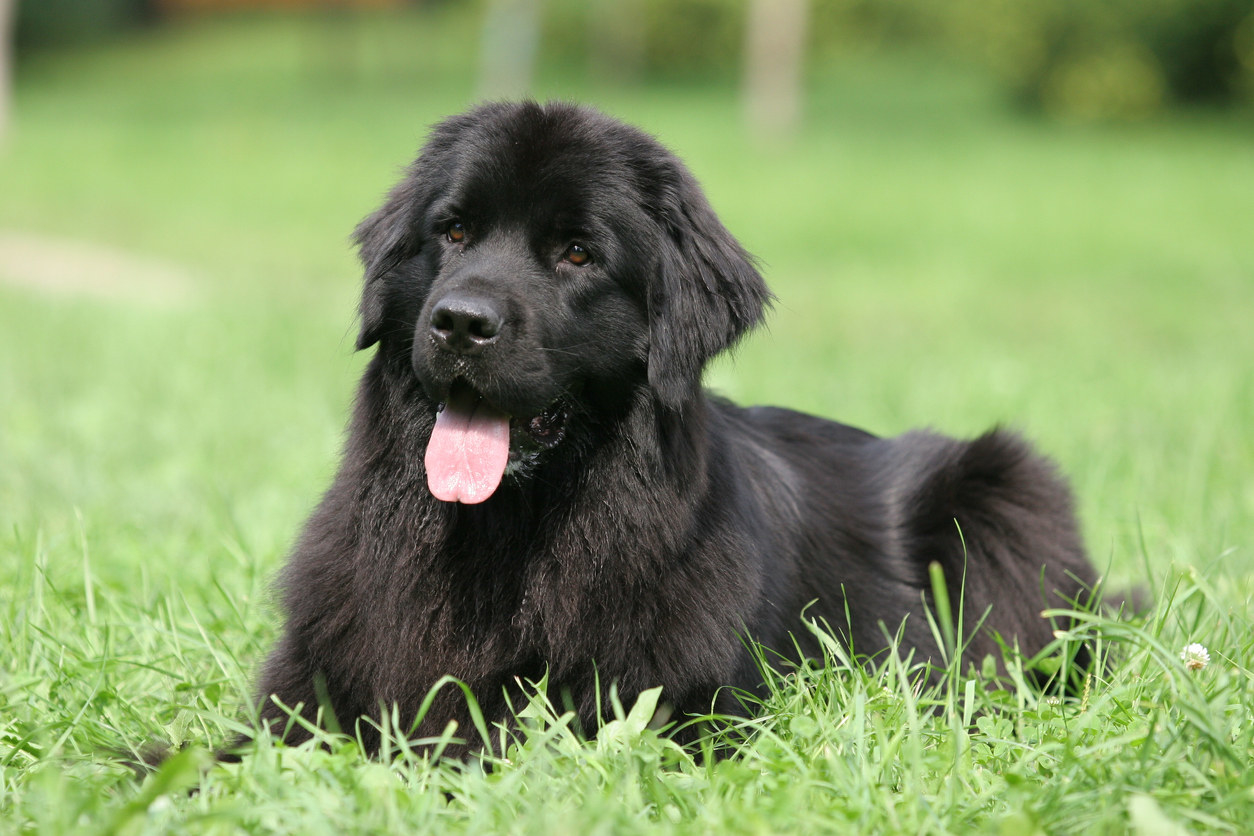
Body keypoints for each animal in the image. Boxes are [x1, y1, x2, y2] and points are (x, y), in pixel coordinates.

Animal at [254, 99, 1098, 757]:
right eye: (454, 232)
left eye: (577, 253)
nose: (461, 322)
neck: (503, 538)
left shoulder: (677, 707)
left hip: (1003, 483)